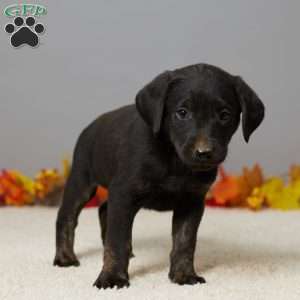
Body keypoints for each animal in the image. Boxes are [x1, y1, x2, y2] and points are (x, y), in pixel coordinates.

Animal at [54, 63, 264, 288]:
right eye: (182, 113)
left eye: (225, 115)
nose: (204, 153)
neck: (174, 159)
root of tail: (90, 126)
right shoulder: (124, 194)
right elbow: (117, 241)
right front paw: (112, 277)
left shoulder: (191, 202)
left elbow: (184, 242)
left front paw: (183, 275)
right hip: (82, 181)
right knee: (66, 217)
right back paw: (65, 257)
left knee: (103, 210)